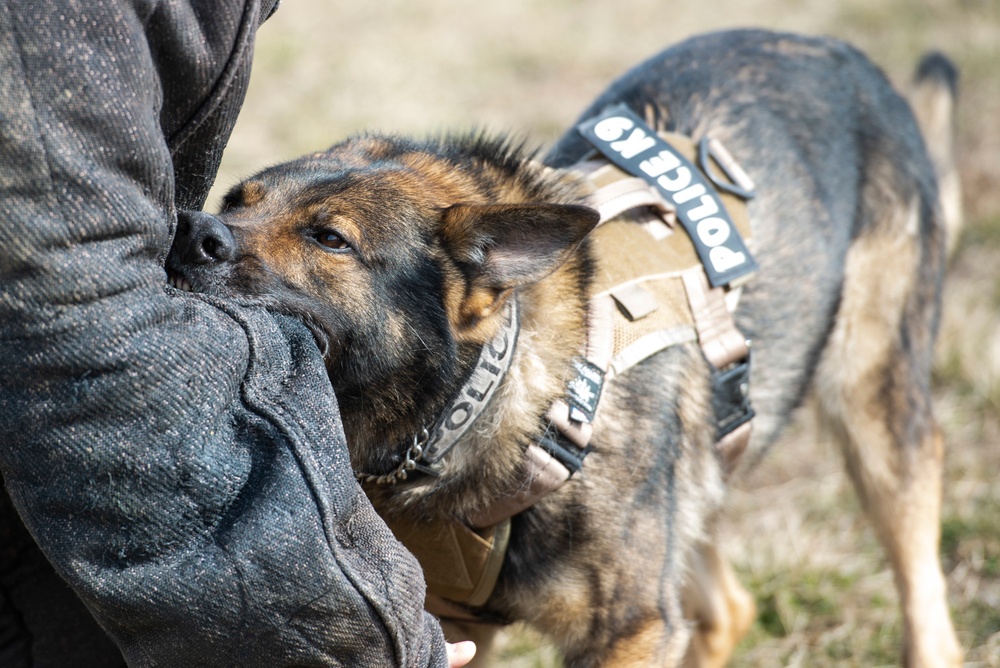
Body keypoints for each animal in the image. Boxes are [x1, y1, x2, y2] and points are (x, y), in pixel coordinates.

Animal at [168, 30, 964, 664]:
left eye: (330, 239)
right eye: (237, 199)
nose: (190, 232)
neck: (495, 395)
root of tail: (842, 54)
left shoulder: (626, 630)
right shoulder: (457, 627)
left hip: (874, 411)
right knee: (727, 608)